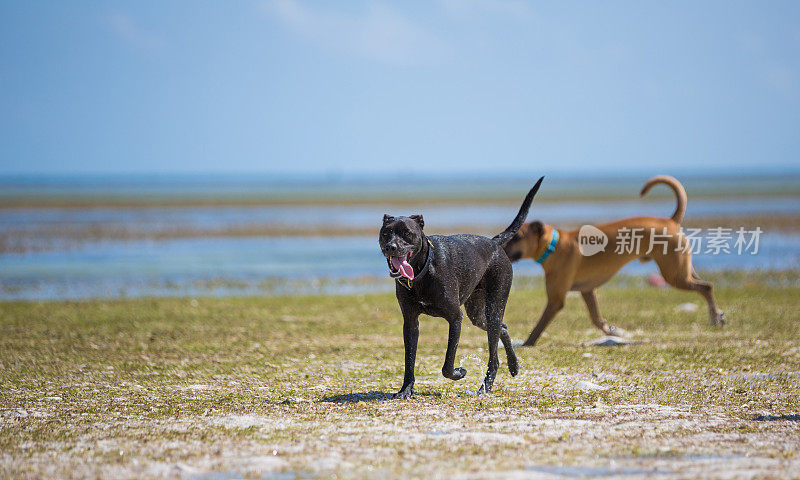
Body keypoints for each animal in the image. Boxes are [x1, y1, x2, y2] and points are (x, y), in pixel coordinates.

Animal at [380, 176, 544, 398]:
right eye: (386, 233)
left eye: (407, 233)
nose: (391, 247)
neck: (424, 269)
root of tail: (494, 243)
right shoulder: (411, 322)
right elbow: (409, 360)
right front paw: (406, 390)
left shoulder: (455, 318)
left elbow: (447, 364)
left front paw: (459, 372)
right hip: (477, 313)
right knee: (503, 327)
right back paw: (514, 365)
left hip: (493, 306)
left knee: (494, 356)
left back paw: (485, 387)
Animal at [506, 175, 724, 344]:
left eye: (517, 236)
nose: (499, 245)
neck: (554, 246)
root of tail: (670, 221)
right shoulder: (587, 291)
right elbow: (596, 318)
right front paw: (612, 330)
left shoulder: (555, 300)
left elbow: (538, 327)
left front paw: (527, 343)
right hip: (682, 270)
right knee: (704, 285)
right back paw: (719, 314)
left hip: (675, 276)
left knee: (707, 287)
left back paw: (714, 317)